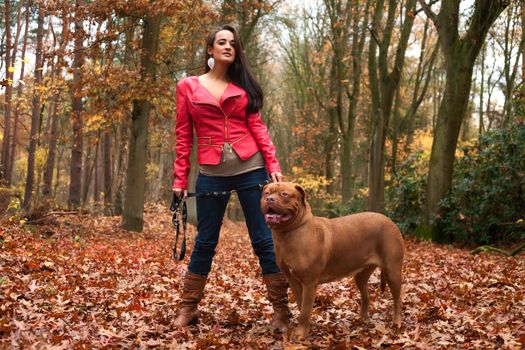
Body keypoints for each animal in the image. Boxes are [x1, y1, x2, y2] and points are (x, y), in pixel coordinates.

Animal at [260, 182, 404, 338]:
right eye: (266, 193)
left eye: (284, 194)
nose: (270, 199)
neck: (287, 234)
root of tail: (389, 220)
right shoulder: (293, 281)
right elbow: (301, 305)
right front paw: (307, 328)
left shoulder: (309, 283)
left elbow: (304, 310)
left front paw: (300, 333)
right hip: (361, 275)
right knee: (366, 295)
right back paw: (362, 319)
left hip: (392, 271)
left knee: (398, 300)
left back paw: (396, 323)